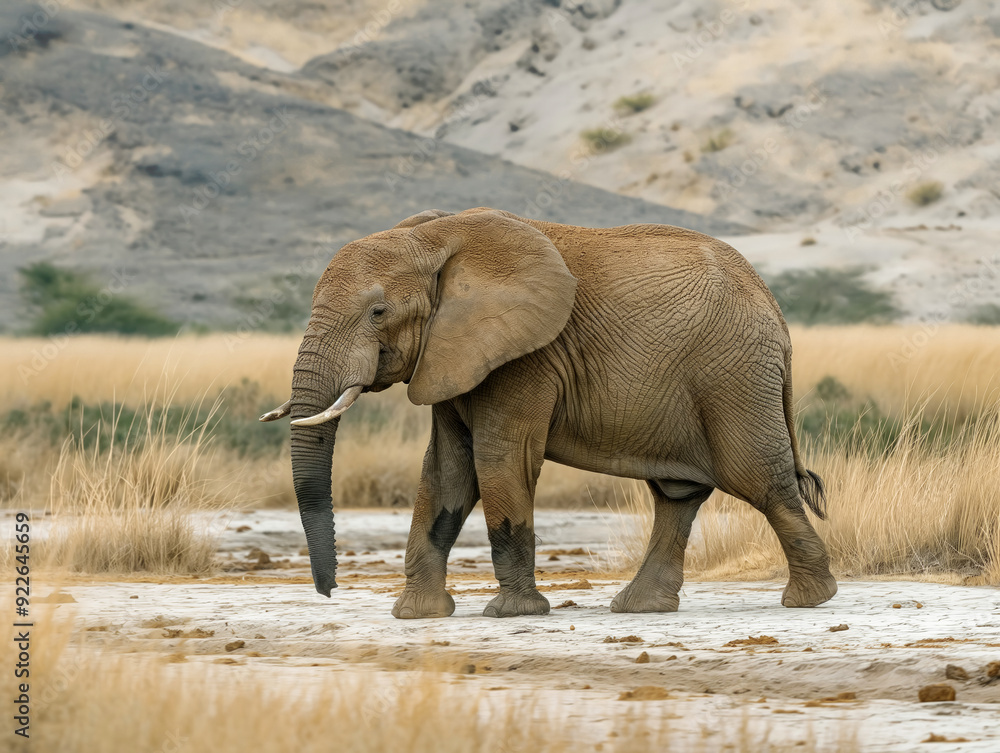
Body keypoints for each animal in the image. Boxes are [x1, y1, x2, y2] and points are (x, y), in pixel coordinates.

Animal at [260, 206, 836, 616]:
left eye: (378, 312)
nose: (329, 592)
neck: (436, 238)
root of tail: (774, 308)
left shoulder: (528, 355)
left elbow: (499, 459)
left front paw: (512, 613)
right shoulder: (450, 353)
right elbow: (446, 469)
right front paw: (418, 615)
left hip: (734, 376)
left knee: (760, 481)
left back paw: (811, 599)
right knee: (679, 495)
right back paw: (640, 608)